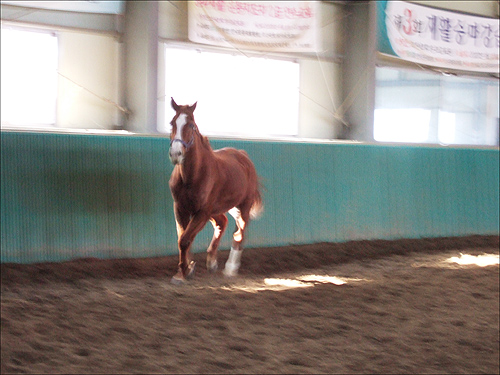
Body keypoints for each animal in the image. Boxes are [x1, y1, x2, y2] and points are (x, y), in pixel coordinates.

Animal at [168, 98, 264, 284]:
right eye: (172, 123)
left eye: (191, 125)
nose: (176, 153)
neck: (192, 176)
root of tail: (243, 156)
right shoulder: (180, 208)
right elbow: (182, 238)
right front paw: (185, 270)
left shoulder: (202, 212)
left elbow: (185, 240)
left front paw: (184, 271)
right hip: (220, 209)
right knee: (222, 223)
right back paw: (212, 263)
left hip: (242, 207)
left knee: (239, 234)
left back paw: (230, 268)